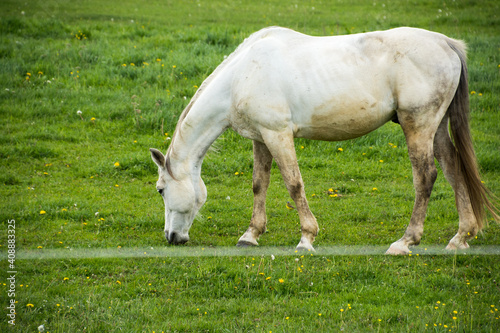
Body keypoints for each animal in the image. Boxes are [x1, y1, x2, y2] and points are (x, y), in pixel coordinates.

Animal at [148, 26, 496, 254]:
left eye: (161, 190)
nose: (171, 237)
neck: (241, 76)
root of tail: (447, 43)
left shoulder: (278, 135)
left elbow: (294, 184)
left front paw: (306, 238)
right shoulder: (261, 138)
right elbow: (259, 184)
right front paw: (251, 235)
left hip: (418, 125)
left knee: (426, 177)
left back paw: (405, 241)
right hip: (436, 129)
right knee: (453, 169)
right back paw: (460, 237)